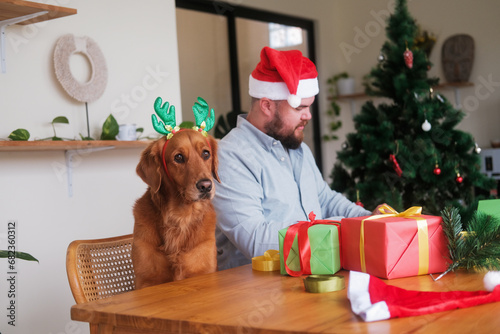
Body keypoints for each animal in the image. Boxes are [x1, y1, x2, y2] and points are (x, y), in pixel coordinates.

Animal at [133, 129, 219, 288]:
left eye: (206, 153)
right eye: (178, 157)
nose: (206, 186)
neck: (180, 217)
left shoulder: (204, 269)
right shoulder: (146, 280)